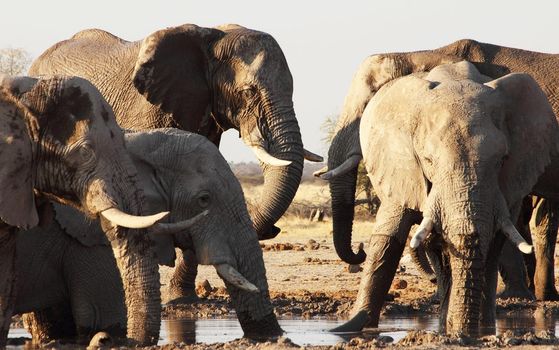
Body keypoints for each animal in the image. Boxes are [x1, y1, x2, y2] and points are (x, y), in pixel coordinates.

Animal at [330, 61, 556, 338]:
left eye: (501, 160)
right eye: (428, 160)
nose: (358, 250)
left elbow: (494, 241)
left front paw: (477, 330)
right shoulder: (403, 167)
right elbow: (390, 235)